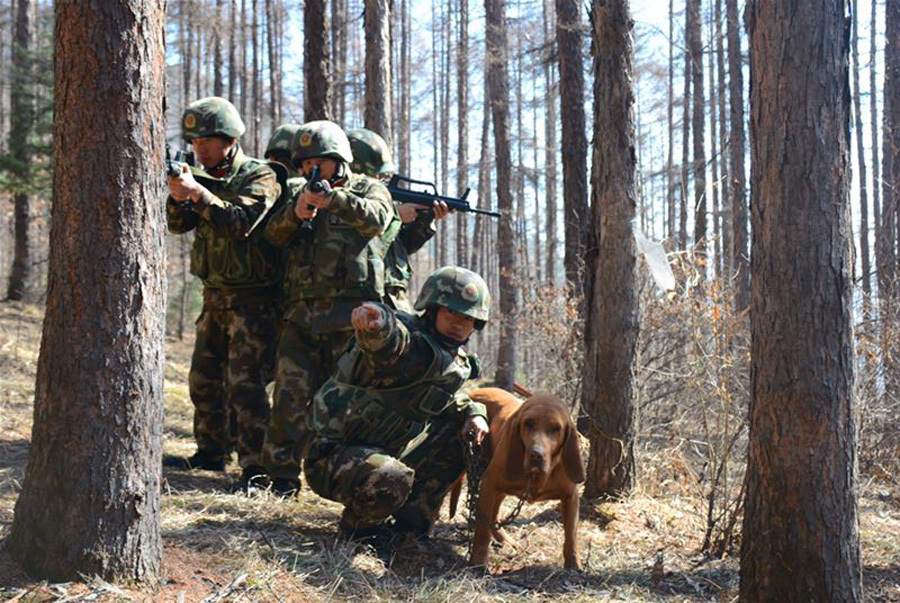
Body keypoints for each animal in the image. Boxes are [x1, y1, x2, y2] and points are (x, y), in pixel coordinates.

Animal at [460, 390, 588, 572]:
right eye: (528, 423)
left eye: (556, 428)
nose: (536, 455)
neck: (535, 476)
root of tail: (473, 391)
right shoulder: (489, 485)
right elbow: (482, 530)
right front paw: (478, 561)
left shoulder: (571, 497)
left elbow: (571, 536)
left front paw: (574, 564)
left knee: (495, 515)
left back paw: (506, 541)